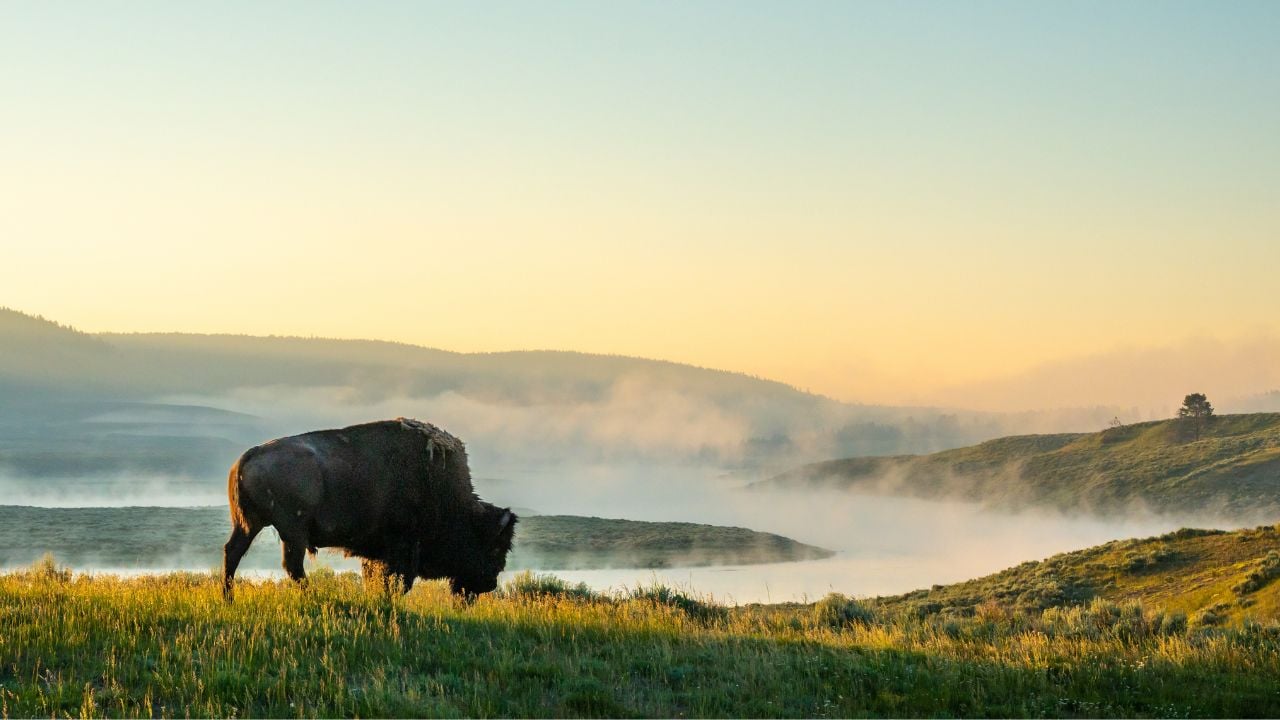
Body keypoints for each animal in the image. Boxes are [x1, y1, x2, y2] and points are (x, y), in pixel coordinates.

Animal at [222, 418, 516, 599]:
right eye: (495, 547)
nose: (489, 584)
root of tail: (249, 455)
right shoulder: (402, 547)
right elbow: (397, 579)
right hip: (292, 532)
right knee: (292, 566)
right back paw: (311, 596)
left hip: (250, 525)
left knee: (234, 553)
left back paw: (229, 599)